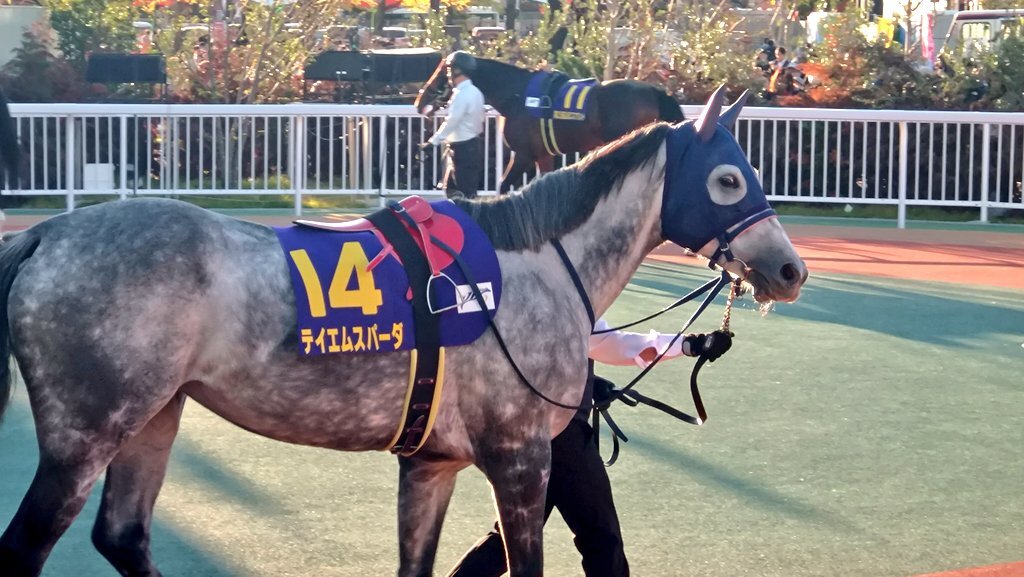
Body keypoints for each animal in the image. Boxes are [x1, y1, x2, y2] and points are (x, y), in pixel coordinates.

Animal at [0, 87, 806, 577]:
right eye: (728, 178)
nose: (790, 267)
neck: (533, 266)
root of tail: (42, 237)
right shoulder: (519, 457)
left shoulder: (432, 462)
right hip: (84, 433)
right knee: (29, 545)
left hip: (155, 413)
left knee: (122, 534)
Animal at [414, 53, 685, 193]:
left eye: (442, 71)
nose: (419, 101)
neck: (517, 95)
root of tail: (653, 91)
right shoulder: (543, 155)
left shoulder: (523, 154)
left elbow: (503, 186)